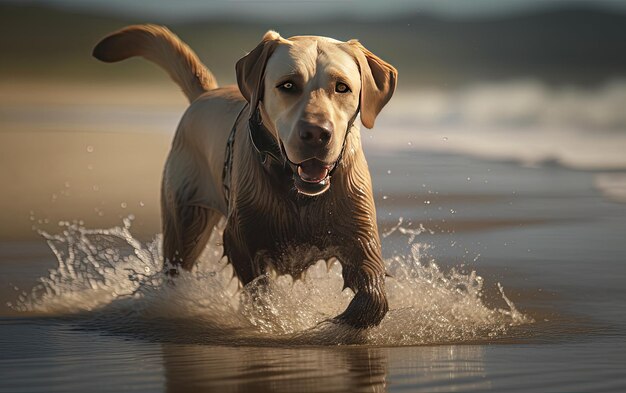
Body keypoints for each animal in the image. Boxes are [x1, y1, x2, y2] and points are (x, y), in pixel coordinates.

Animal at [92, 23, 394, 326]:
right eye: (288, 85)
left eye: (342, 87)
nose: (316, 133)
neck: (296, 192)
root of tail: (205, 94)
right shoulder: (240, 238)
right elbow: (258, 291)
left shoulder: (360, 236)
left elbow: (373, 298)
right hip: (185, 217)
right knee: (176, 266)